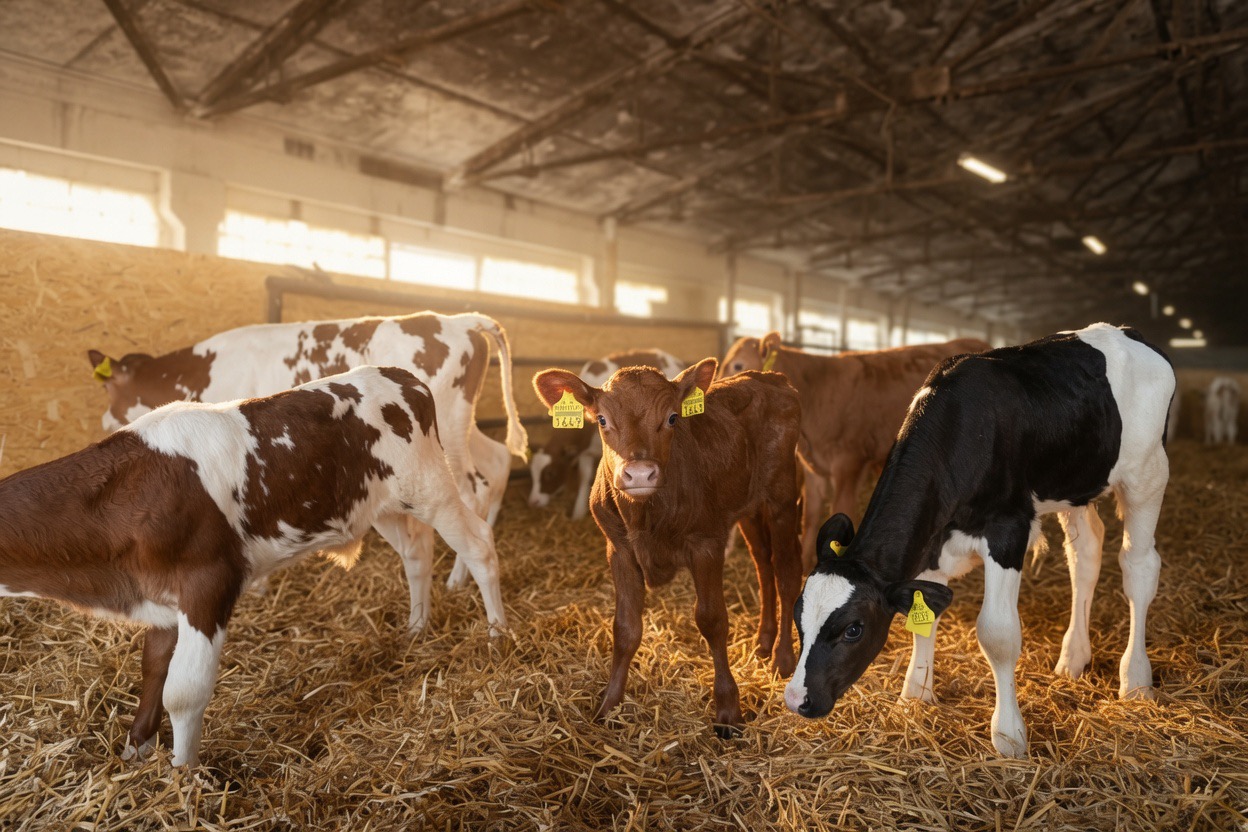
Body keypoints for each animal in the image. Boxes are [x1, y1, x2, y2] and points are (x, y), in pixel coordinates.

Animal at [0, 366, 504, 767]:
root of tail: (402, 375)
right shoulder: (162, 597)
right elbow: (154, 667)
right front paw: (137, 747)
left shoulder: (208, 583)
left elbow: (184, 690)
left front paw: (183, 778)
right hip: (380, 505)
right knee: (417, 553)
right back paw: (417, 628)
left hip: (430, 485)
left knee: (479, 545)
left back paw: (498, 634)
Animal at [87, 312, 527, 632]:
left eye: (109, 390)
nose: (103, 420)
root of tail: (458, 319)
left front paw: (259, 586)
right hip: (459, 427)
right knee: (498, 460)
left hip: (446, 436)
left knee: (473, 492)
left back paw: (464, 585)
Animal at [528, 349, 685, 519]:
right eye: (532, 473)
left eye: (551, 473)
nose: (533, 501)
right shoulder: (585, 451)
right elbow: (584, 477)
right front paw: (578, 513)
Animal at [718, 333, 991, 571]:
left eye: (738, 365)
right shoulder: (814, 468)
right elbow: (810, 517)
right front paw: (805, 565)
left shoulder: (848, 463)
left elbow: (841, 510)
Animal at [783, 323, 1173, 758]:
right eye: (798, 616)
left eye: (854, 629)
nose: (796, 700)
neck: (960, 427)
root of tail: (1125, 331)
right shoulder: (930, 541)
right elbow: (924, 622)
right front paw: (915, 696)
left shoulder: (1008, 530)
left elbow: (997, 634)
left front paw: (1009, 734)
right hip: (1075, 485)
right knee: (1085, 555)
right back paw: (1073, 658)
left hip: (1147, 473)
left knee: (1138, 567)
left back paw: (1135, 680)